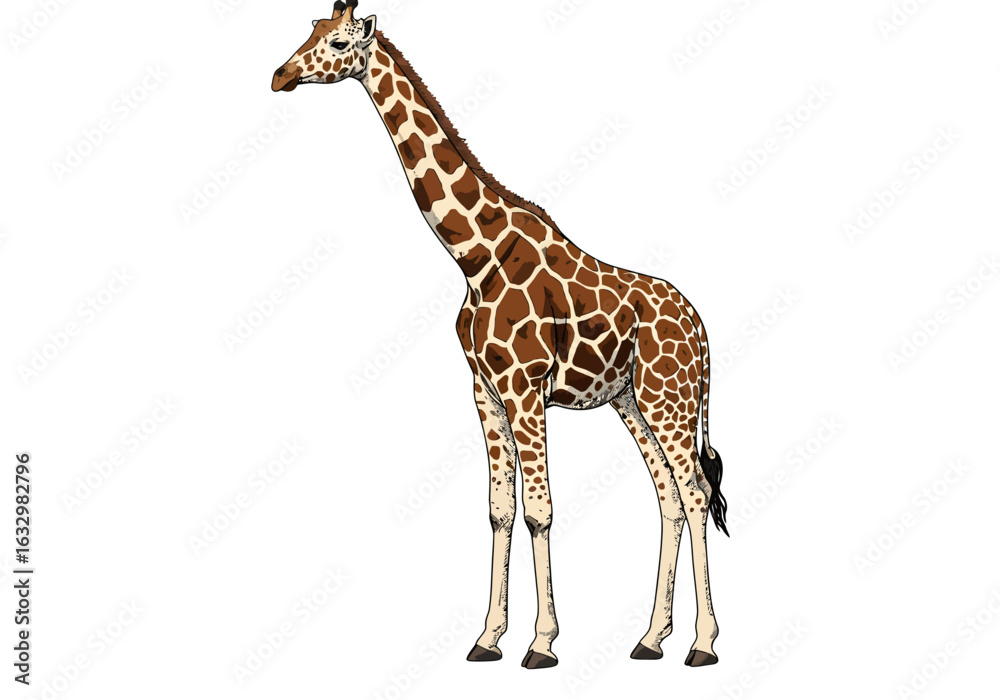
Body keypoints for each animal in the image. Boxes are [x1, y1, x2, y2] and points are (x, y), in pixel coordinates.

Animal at [272, 0, 729, 669]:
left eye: (335, 42)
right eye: (307, 29)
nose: (279, 76)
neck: (474, 255)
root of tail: (700, 329)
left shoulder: (524, 388)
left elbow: (539, 510)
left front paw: (541, 643)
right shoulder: (484, 392)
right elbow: (499, 511)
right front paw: (487, 638)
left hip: (667, 398)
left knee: (694, 494)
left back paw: (702, 643)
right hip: (631, 401)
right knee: (669, 497)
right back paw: (650, 639)